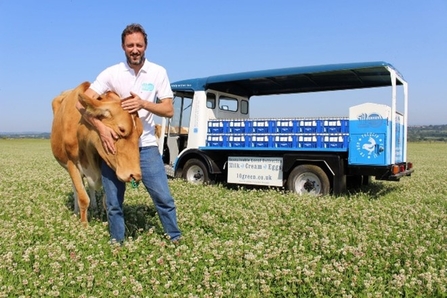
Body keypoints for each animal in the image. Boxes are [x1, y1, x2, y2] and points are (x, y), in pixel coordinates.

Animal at [52, 81, 144, 224]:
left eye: (140, 133)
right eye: (121, 129)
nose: (135, 175)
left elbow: (107, 201)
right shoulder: (72, 164)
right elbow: (83, 198)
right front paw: (84, 225)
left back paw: (94, 207)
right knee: (76, 188)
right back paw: (76, 211)